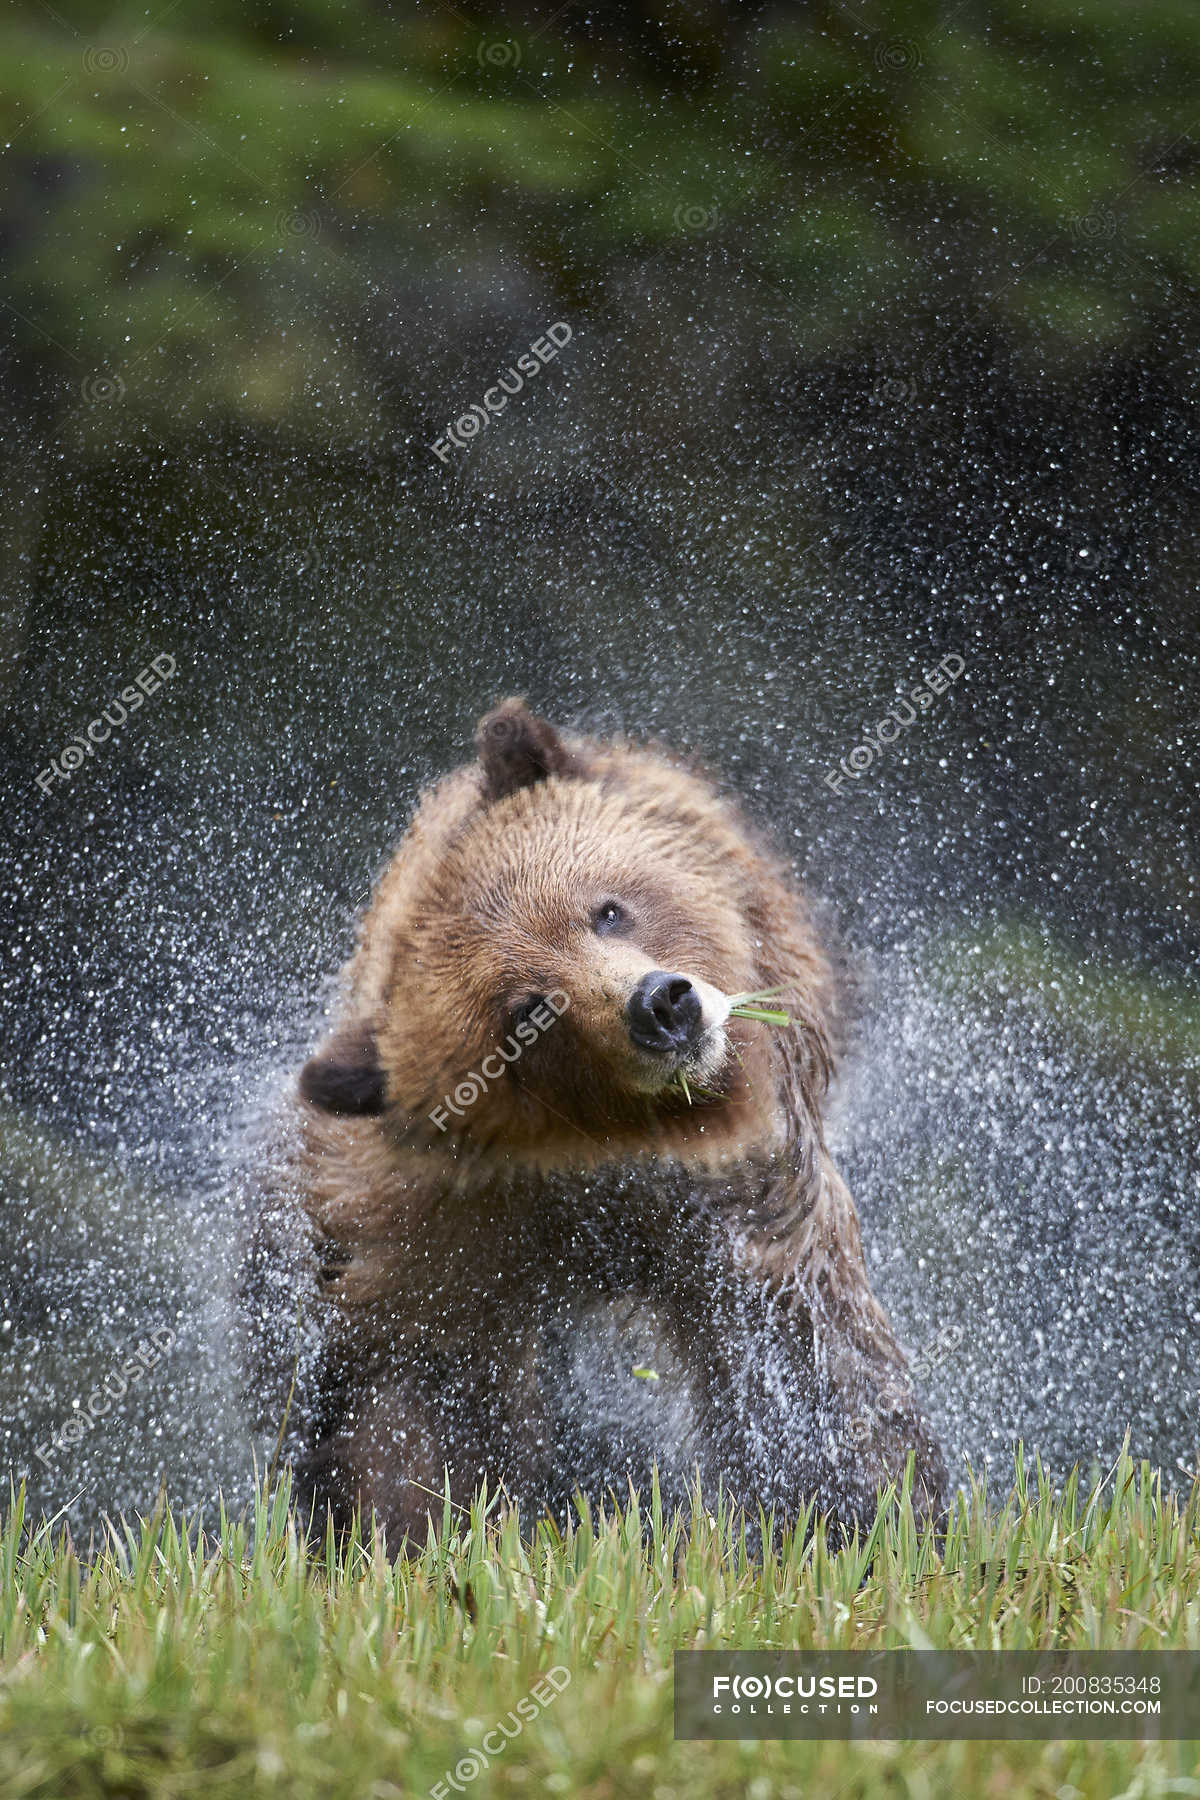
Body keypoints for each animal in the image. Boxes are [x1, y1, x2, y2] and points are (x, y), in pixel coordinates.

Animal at [241, 694, 949, 1540]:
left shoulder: (726, 1196)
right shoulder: (429, 1238)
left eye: (606, 909)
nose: (662, 1005)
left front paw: (867, 1508)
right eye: (529, 1013)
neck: (594, 1162)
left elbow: (802, 1350)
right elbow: (416, 1405)